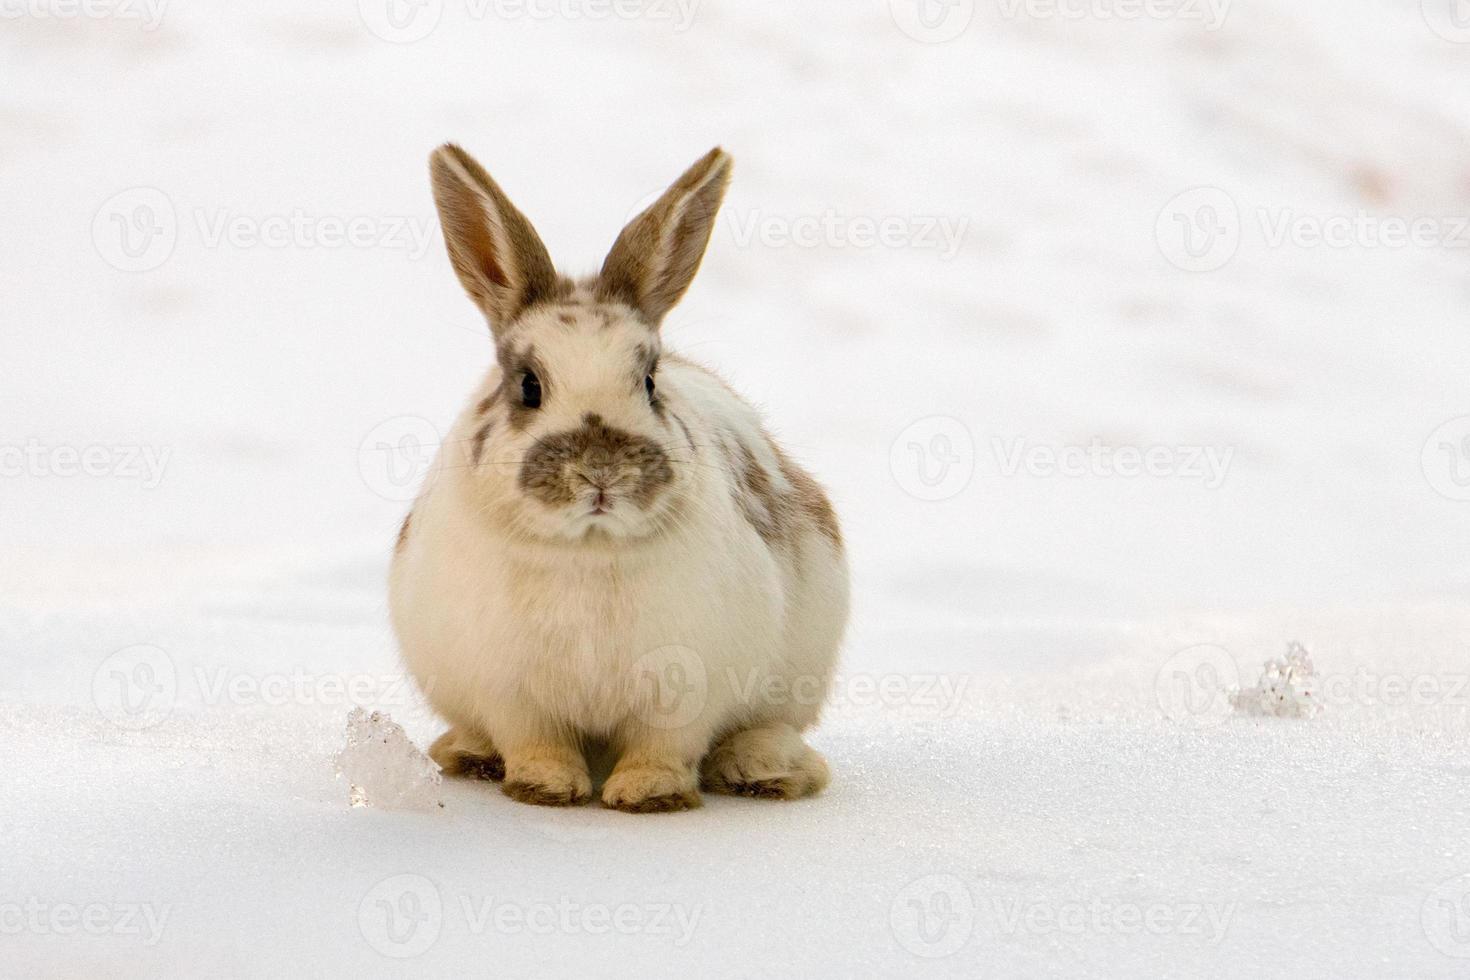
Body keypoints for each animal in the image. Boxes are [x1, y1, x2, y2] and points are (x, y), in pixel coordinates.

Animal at [391, 139, 852, 811]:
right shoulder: (510, 691)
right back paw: (468, 754)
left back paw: (766, 768)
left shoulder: (686, 682)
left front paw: (648, 795)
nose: (601, 472)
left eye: (650, 382)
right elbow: (535, 740)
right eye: (528, 386)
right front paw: (545, 787)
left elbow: (664, 744)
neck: (588, 548)